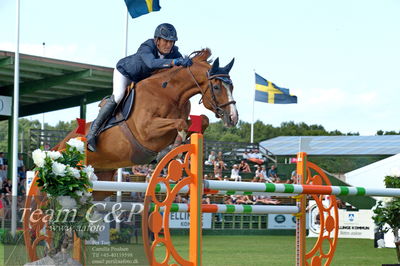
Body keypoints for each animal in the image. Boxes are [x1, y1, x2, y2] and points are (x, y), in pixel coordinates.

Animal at [56, 47, 238, 197]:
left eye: (232, 87)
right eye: (216, 87)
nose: (233, 118)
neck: (170, 94)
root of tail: (60, 144)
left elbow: (202, 121)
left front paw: (174, 148)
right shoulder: (147, 130)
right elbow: (181, 123)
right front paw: (171, 150)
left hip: (102, 181)